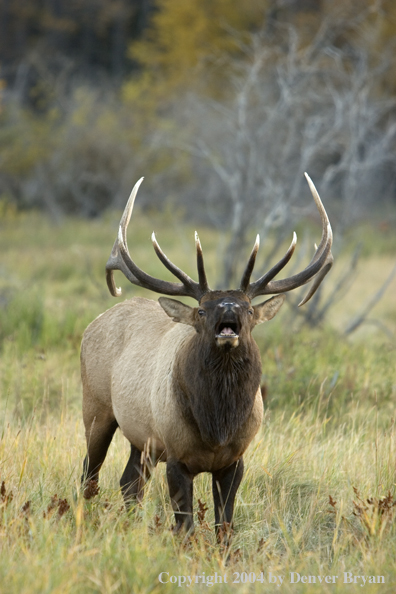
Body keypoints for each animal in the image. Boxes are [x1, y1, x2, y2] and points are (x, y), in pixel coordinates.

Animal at [81, 173, 334, 536]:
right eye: (202, 310)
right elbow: (185, 527)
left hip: (140, 438)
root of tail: (94, 323)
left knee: (129, 482)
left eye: (248, 308)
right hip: (96, 407)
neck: (217, 428)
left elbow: (224, 527)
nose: (228, 309)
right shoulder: (175, 454)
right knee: (90, 473)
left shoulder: (234, 460)